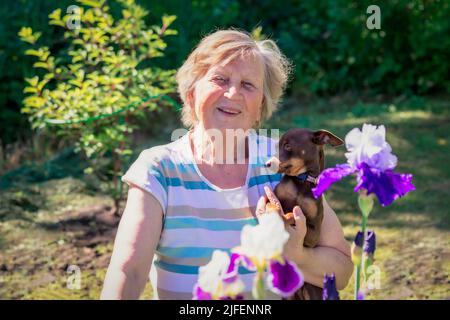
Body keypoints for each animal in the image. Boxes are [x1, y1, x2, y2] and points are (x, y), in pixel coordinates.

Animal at [266, 128, 342, 300]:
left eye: (288, 146)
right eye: (277, 145)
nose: (266, 163)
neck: (301, 180)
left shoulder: (313, 233)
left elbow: (294, 216)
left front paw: (285, 217)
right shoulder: (272, 197)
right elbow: (271, 205)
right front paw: (276, 213)